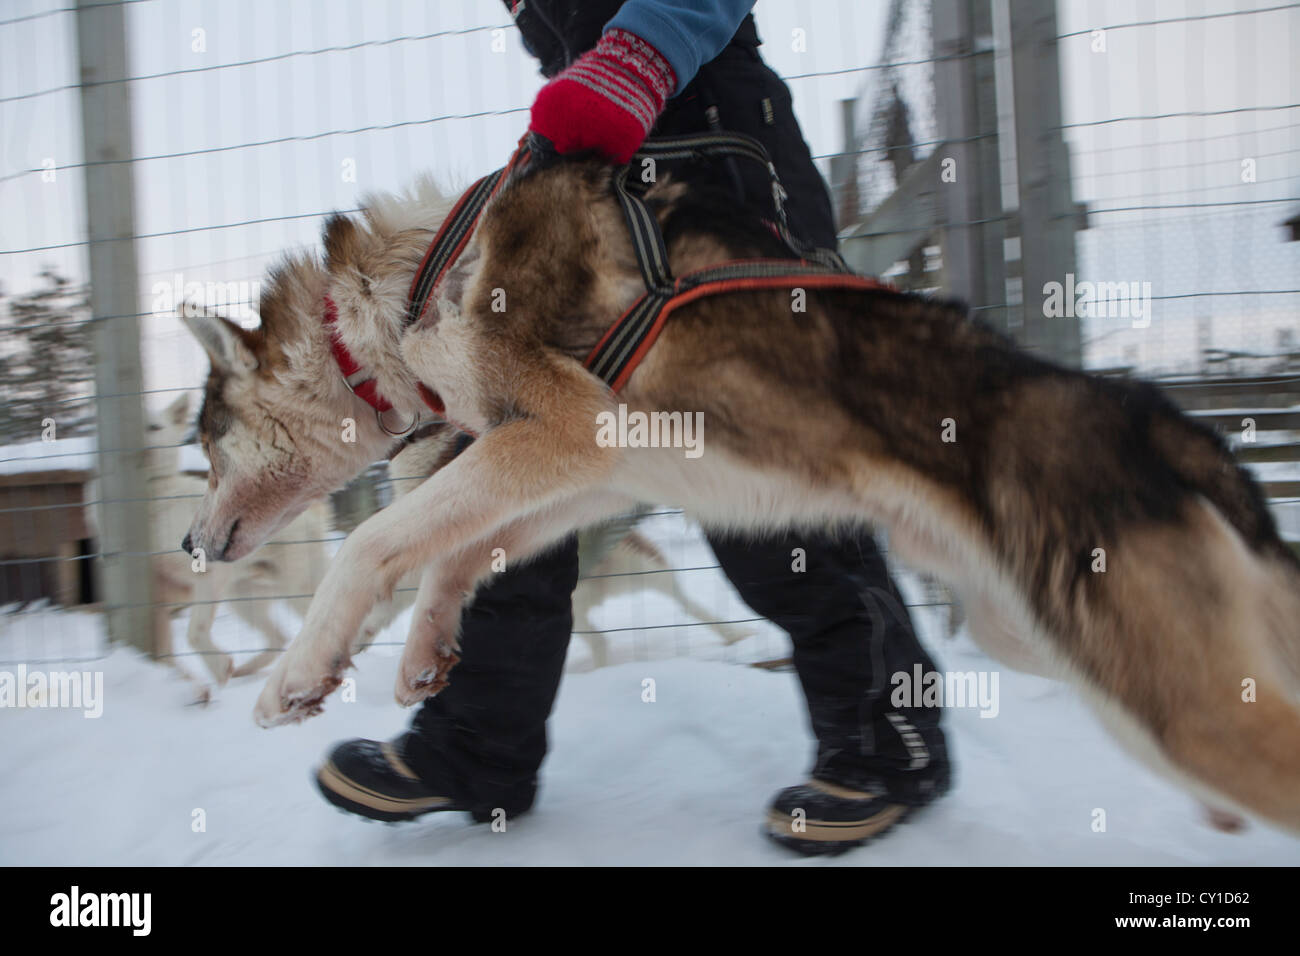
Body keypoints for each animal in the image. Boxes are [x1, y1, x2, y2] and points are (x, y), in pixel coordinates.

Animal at [180, 160, 1300, 832]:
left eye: (203, 438)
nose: (187, 544)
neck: (414, 284)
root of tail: (1154, 417)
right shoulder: (580, 467)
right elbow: (458, 552)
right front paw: (425, 652)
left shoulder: (562, 432)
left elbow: (374, 546)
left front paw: (296, 675)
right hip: (1057, 649)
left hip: (1173, 703)